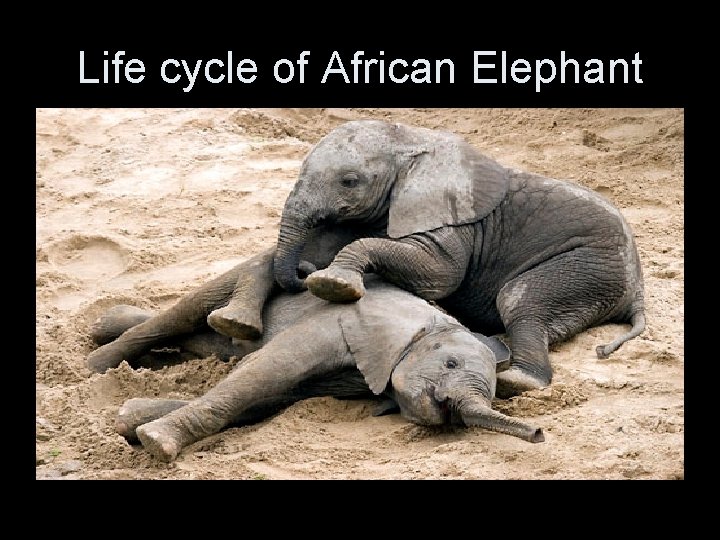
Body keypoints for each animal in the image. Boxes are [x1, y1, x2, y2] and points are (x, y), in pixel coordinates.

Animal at [93, 275, 543, 463]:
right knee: (187, 313)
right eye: (449, 363)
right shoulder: (341, 323)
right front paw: (154, 442)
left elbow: (269, 398)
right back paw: (98, 351)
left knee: (207, 341)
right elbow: (265, 373)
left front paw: (130, 419)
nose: (539, 434)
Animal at [260, 120, 646, 397]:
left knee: (517, 298)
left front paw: (332, 283)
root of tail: (637, 291)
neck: (411, 141)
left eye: (349, 181)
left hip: (591, 265)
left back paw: (518, 381)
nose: (301, 272)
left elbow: (440, 274)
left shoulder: (453, 221)